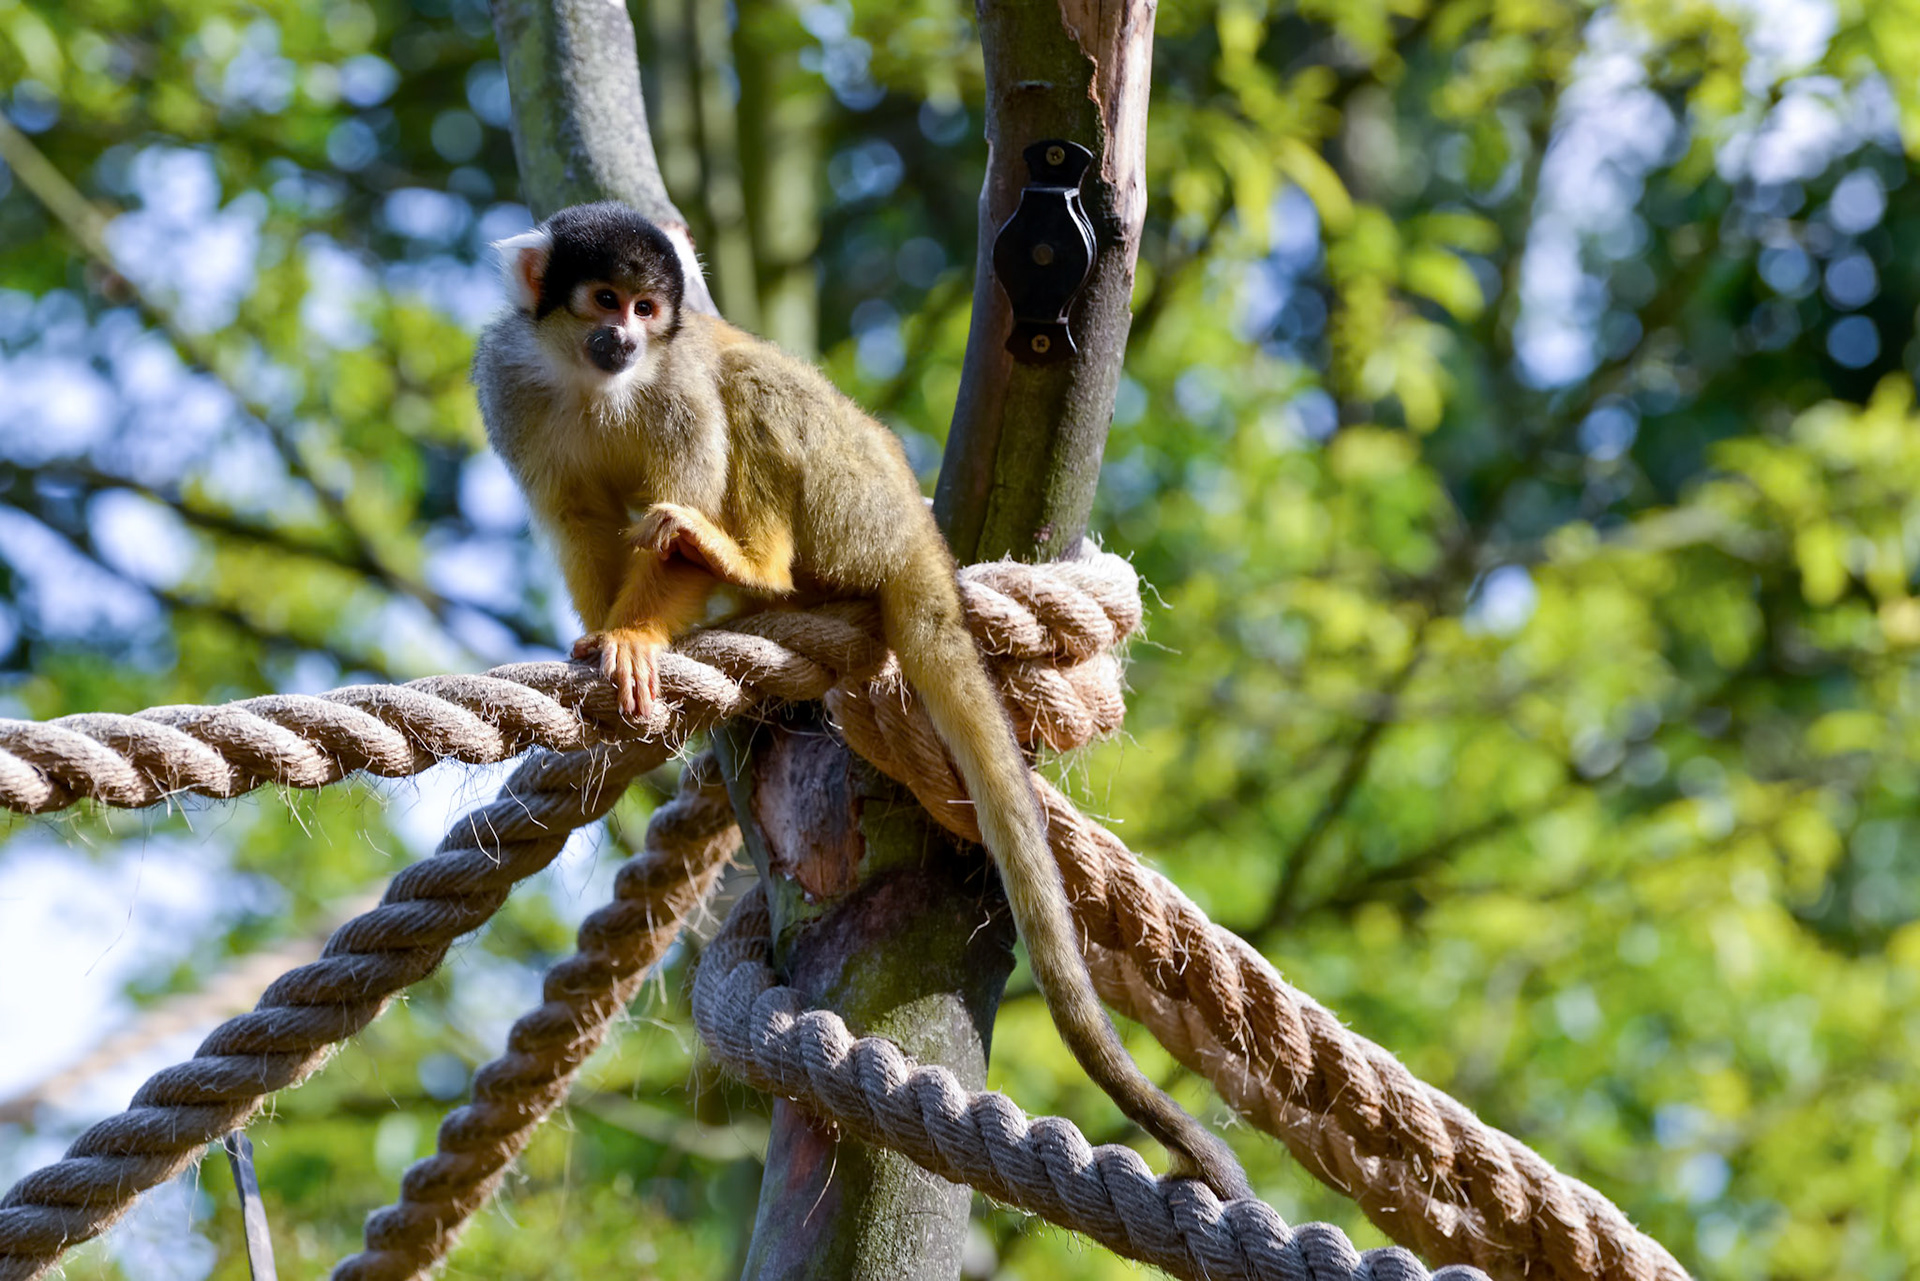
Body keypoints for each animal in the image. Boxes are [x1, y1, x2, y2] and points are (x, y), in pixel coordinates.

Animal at [472, 201, 1249, 1200]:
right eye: (605, 300)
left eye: (648, 308)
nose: (627, 338)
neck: (591, 378)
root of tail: (922, 534)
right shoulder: (510, 382)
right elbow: (576, 522)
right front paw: (600, 639)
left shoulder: (675, 383)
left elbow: (686, 478)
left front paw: (637, 636)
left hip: (855, 503)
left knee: (747, 387)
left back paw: (750, 562)